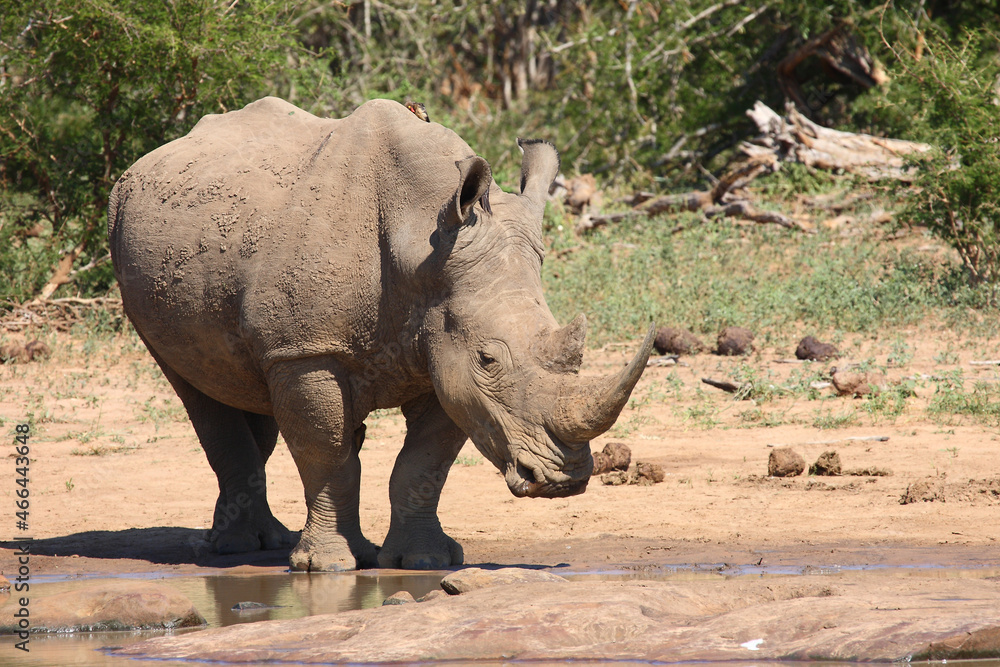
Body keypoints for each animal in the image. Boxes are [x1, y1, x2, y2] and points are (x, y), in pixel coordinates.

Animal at [108, 97, 653, 571]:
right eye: (489, 360)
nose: (562, 479)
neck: (422, 241)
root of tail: (139, 168)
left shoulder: (444, 350)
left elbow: (424, 464)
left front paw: (425, 561)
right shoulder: (306, 351)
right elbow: (327, 456)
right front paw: (326, 567)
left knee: (240, 387)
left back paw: (264, 542)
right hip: (134, 250)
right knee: (195, 388)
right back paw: (238, 550)